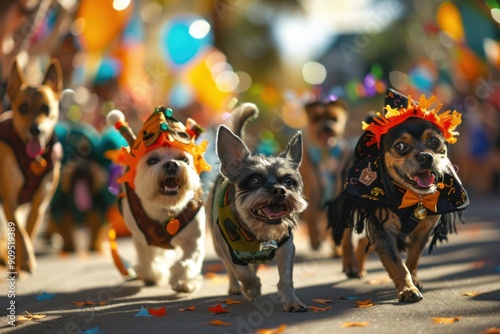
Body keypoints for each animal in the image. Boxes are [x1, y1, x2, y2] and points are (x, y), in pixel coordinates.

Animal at [0, 58, 62, 272]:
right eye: (23, 108)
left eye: (47, 109)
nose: (36, 129)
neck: (33, 160)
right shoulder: (9, 200)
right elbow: (19, 231)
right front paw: (26, 259)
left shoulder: (39, 204)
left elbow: (29, 230)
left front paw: (21, 259)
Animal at [107, 105, 211, 290]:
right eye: (152, 160)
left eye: (183, 159)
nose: (171, 164)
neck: (166, 207)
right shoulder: (142, 237)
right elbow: (148, 258)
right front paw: (153, 274)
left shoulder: (194, 238)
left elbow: (189, 261)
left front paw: (182, 280)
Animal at [207, 103, 308, 312]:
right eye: (254, 180)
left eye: (288, 181)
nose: (279, 189)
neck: (258, 232)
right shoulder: (227, 248)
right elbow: (241, 272)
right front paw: (252, 288)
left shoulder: (287, 247)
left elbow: (286, 278)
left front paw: (292, 301)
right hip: (216, 244)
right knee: (231, 269)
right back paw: (237, 288)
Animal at [298, 98, 350, 250]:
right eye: (316, 118)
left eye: (335, 119)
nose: (326, 127)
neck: (325, 152)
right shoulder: (312, 187)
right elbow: (310, 215)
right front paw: (314, 239)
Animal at [328, 89, 468, 302]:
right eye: (400, 146)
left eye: (434, 141)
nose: (426, 156)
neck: (414, 198)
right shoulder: (384, 230)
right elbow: (397, 264)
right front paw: (407, 289)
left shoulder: (423, 232)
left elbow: (412, 258)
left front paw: (413, 280)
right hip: (350, 208)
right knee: (346, 237)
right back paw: (350, 266)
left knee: (362, 242)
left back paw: (360, 268)